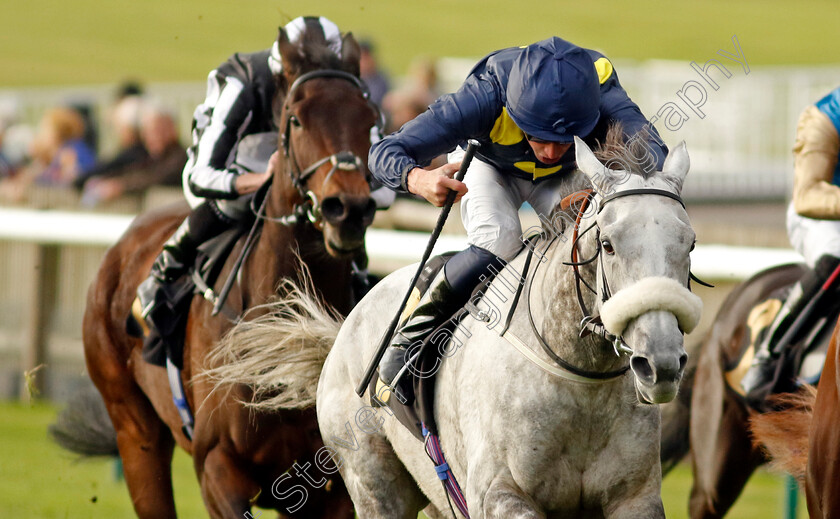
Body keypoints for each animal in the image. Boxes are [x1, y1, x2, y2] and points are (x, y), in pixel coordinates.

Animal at [79, 30, 380, 516]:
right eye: (297, 119)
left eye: (369, 118)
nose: (348, 209)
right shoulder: (216, 464)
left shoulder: (329, 484)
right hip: (134, 428)